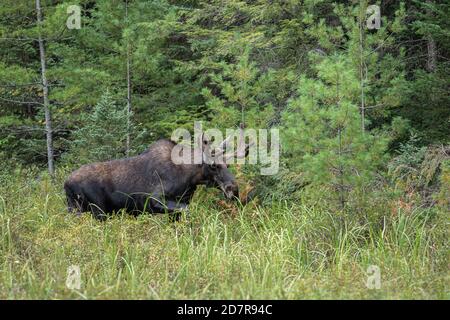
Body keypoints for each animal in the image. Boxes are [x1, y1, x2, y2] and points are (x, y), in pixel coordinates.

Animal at [63, 131, 250, 220]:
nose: (234, 189)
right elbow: (188, 210)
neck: (189, 179)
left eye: (228, 164)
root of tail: (65, 184)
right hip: (95, 210)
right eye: (213, 166)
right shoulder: (152, 199)